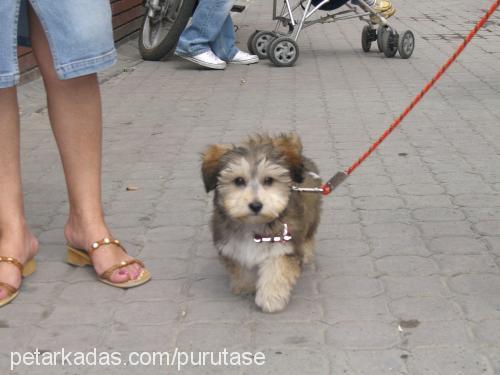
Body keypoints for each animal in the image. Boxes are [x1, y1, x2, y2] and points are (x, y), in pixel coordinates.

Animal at [201, 134, 322, 312]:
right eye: (238, 180)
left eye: (269, 180)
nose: (256, 205)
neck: (254, 224)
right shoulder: (232, 245)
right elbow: (241, 266)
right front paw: (246, 286)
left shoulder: (282, 246)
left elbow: (276, 271)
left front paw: (271, 299)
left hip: (311, 215)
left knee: (308, 235)